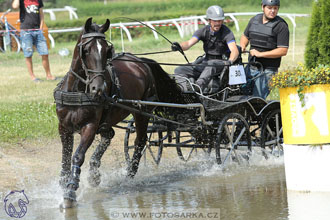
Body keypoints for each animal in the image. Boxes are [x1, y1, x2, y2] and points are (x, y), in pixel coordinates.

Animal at [54, 17, 183, 208]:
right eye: (86, 50)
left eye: (107, 51)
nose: (98, 89)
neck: (77, 91)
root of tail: (141, 61)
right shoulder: (63, 128)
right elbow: (65, 157)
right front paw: (64, 184)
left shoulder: (90, 126)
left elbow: (77, 156)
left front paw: (70, 192)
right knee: (110, 134)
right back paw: (95, 173)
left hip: (142, 112)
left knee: (139, 141)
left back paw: (129, 175)